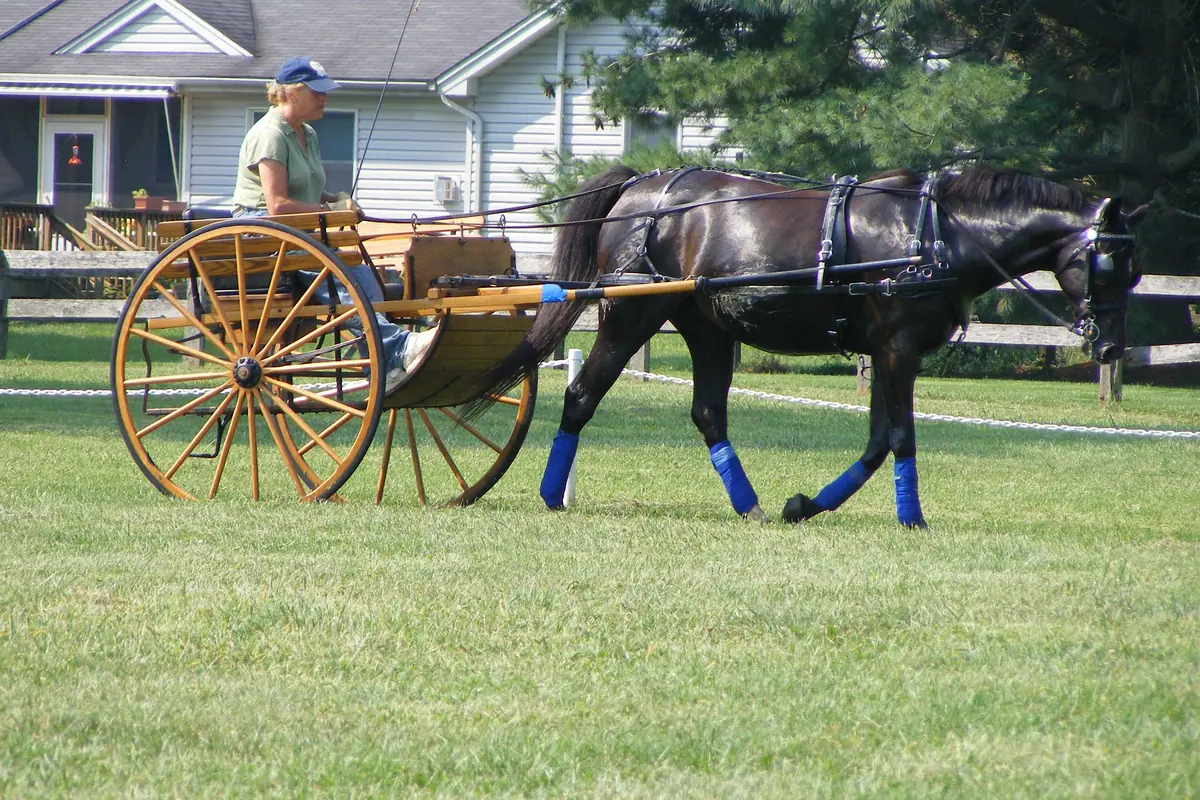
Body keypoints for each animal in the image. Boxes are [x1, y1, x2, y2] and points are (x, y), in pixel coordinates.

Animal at [483, 164, 1140, 526]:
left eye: (1133, 269)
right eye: (1108, 263)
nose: (1111, 350)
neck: (935, 236)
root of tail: (643, 188)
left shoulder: (884, 351)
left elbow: (877, 441)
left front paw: (804, 506)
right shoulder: (899, 348)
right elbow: (899, 436)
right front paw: (912, 519)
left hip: (707, 328)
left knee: (708, 413)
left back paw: (749, 505)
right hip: (630, 316)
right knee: (581, 396)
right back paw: (552, 495)